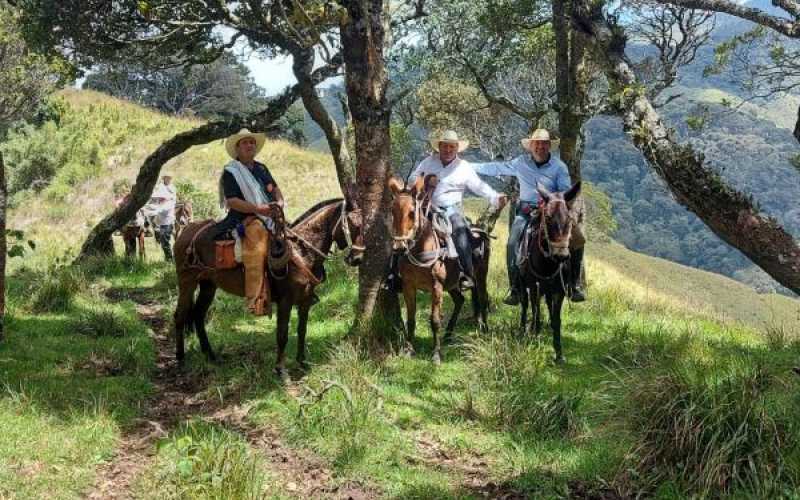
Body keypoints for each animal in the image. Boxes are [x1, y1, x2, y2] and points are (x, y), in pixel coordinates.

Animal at [175, 196, 366, 376]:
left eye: (364, 225)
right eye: (352, 224)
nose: (357, 259)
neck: (301, 252)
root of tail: (187, 230)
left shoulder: (304, 301)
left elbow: (302, 330)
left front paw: (301, 362)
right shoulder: (285, 302)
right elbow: (282, 334)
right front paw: (280, 370)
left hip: (208, 285)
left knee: (198, 315)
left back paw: (210, 355)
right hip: (187, 282)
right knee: (180, 315)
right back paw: (180, 359)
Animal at [386, 176, 490, 364]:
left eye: (412, 212)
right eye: (392, 211)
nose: (399, 247)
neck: (421, 249)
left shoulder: (437, 287)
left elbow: (434, 321)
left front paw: (436, 354)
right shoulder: (408, 286)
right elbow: (410, 319)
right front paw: (408, 349)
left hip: (480, 275)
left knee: (483, 298)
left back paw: (484, 329)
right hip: (453, 284)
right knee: (460, 300)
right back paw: (448, 334)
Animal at [520, 183, 580, 364]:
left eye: (570, 219)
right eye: (547, 218)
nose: (561, 255)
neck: (547, 263)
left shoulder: (559, 291)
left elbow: (556, 319)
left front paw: (558, 352)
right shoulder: (534, 286)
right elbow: (536, 312)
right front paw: (534, 338)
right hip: (522, 283)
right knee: (524, 304)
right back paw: (522, 330)